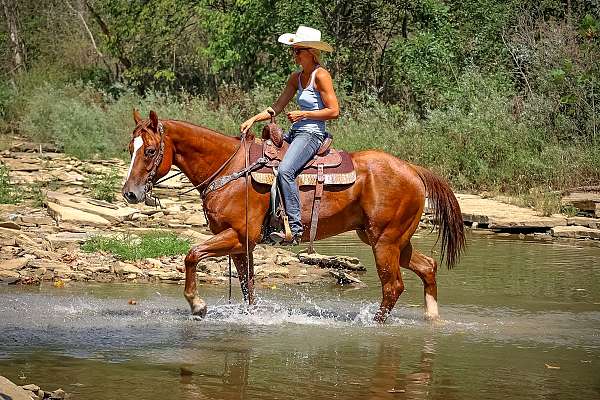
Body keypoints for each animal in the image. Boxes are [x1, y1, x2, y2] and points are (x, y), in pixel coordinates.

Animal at [122, 109, 466, 322]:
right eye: (130, 149)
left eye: (149, 151)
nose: (130, 193)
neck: (231, 170)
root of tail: (413, 170)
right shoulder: (242, 246)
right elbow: (247, 288)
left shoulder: (237, 236)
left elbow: (192, 254)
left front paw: (197, 304)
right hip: (392, 240)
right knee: (427, 267)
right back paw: (432, 318)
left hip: (385, 242)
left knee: (393, 286)